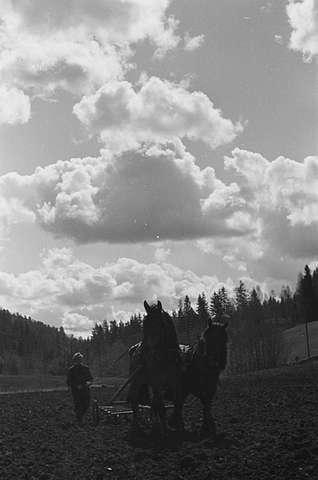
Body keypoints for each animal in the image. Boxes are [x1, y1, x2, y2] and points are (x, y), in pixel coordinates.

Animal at [127, 302, 184, 436]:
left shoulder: (176, 381)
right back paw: (137, 426)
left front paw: (179, 426)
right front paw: (165, 431)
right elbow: (161, 406)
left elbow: (177, 403)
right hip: (137, 381)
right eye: (145, 324)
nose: (147, 350)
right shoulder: (156, 382)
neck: (165, 357)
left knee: (153, 403)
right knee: (135, 400)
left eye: (161, 323)